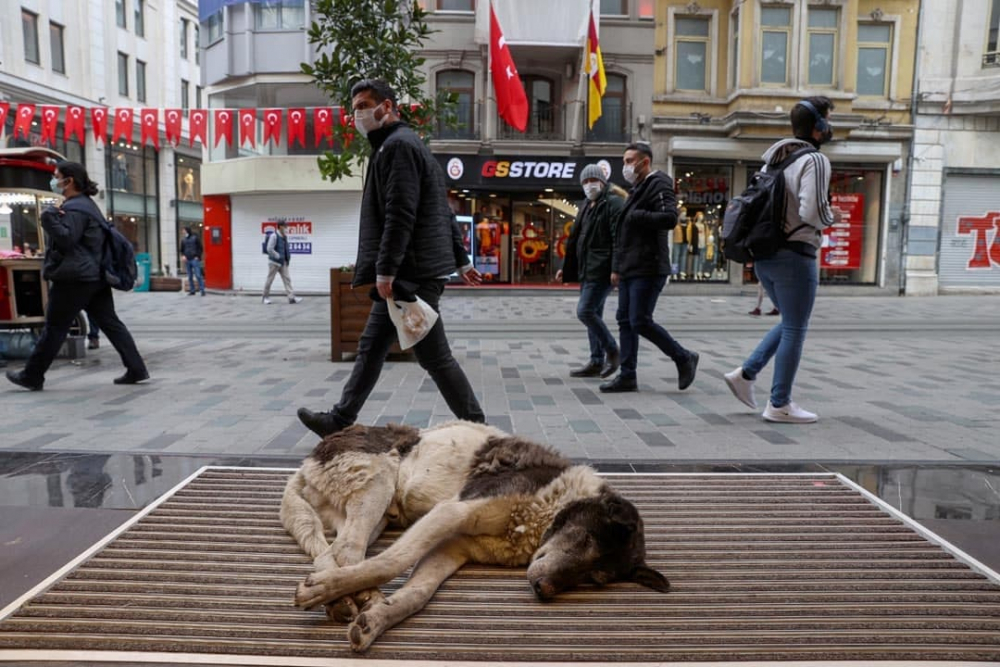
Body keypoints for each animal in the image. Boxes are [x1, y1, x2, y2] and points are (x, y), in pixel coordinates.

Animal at [282, 422, 668, 652]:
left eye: (596, 578)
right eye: (586, 541)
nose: (543, 590)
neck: (550, 504)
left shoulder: (454, 547)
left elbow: (418, 594)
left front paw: (376, 620)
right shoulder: (452, 511)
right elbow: (393, 560)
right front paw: (338, 595)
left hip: (370, 513)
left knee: (333, 550)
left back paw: (347, 597)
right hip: (377, 484)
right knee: (349, 549)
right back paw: (336, 592)